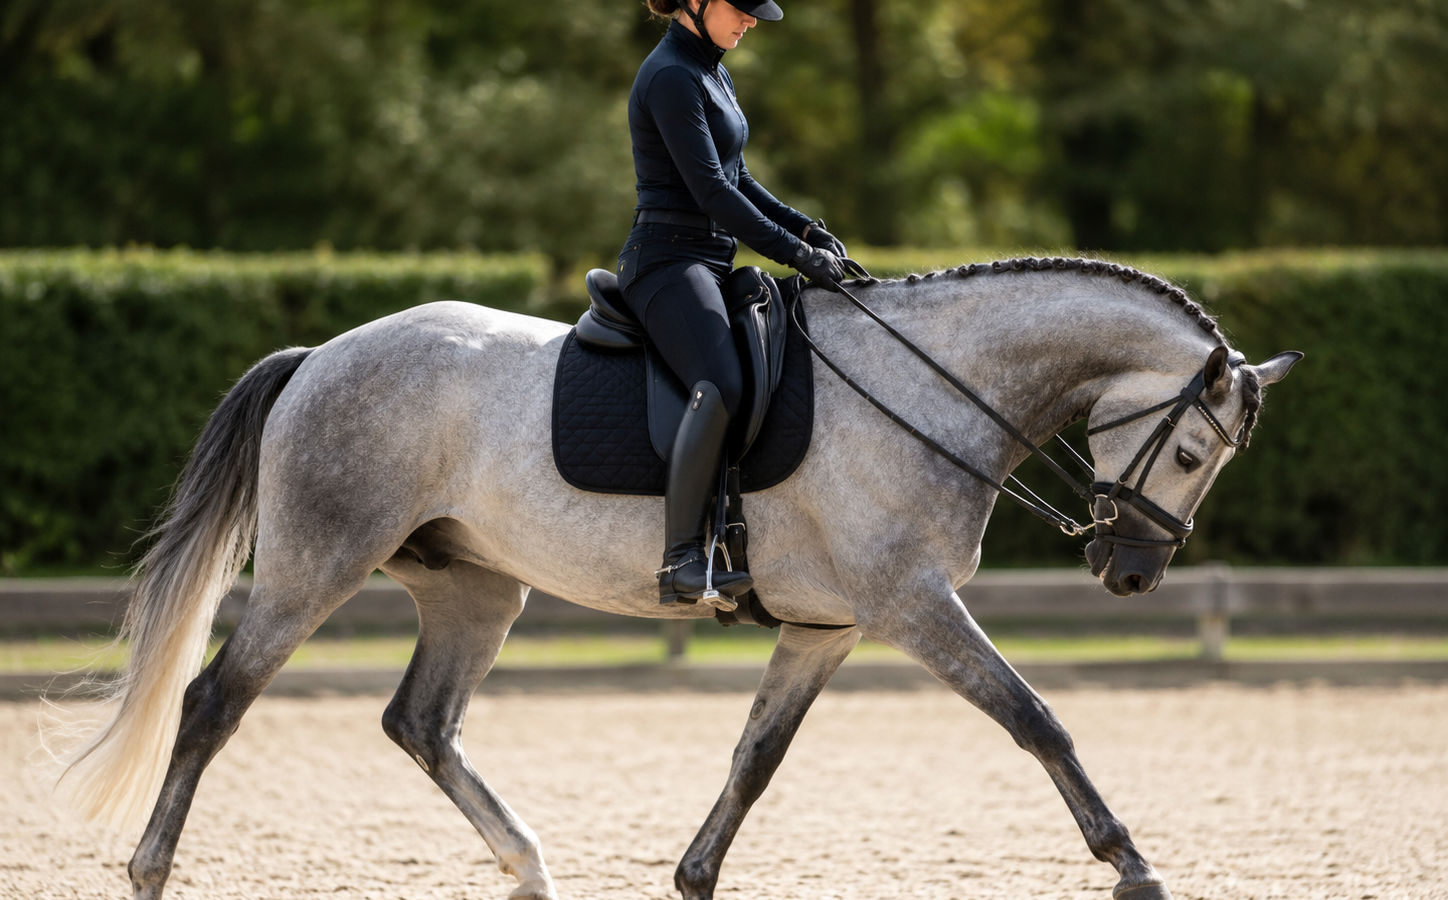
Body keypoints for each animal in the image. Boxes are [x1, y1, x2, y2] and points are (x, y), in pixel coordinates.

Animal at [50, 256, 1300, 900]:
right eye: (1188, 453)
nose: (1127, 572)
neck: (929, 383)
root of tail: (323, 354)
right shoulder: (910, 605)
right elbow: (1034, 718)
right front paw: (1128, 863)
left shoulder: (827, 626)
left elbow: (754, 758)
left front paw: (694, 875)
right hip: (318, 563)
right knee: (215, 702)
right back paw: (150, 870)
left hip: (475, 589)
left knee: (421, 723)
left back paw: (529, 867)